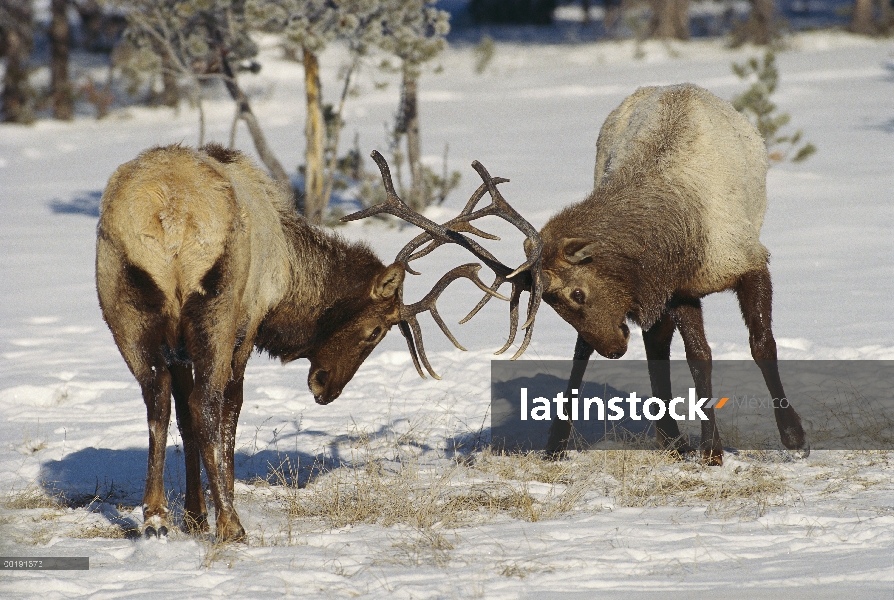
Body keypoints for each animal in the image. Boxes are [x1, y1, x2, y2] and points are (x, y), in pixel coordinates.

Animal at [96, 143, 540, 540]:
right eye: (376, 330)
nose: (326, 387)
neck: (290, 275)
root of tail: (168, 217)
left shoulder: (181, 350)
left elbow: (184, 420)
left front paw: (193, 517)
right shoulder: (247, 323)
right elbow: (228, 410)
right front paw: (218, 510)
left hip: (125, 309)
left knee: (157, 400)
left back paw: (155, 518)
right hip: (216, 309)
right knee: (204, 402)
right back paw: (231, 526)